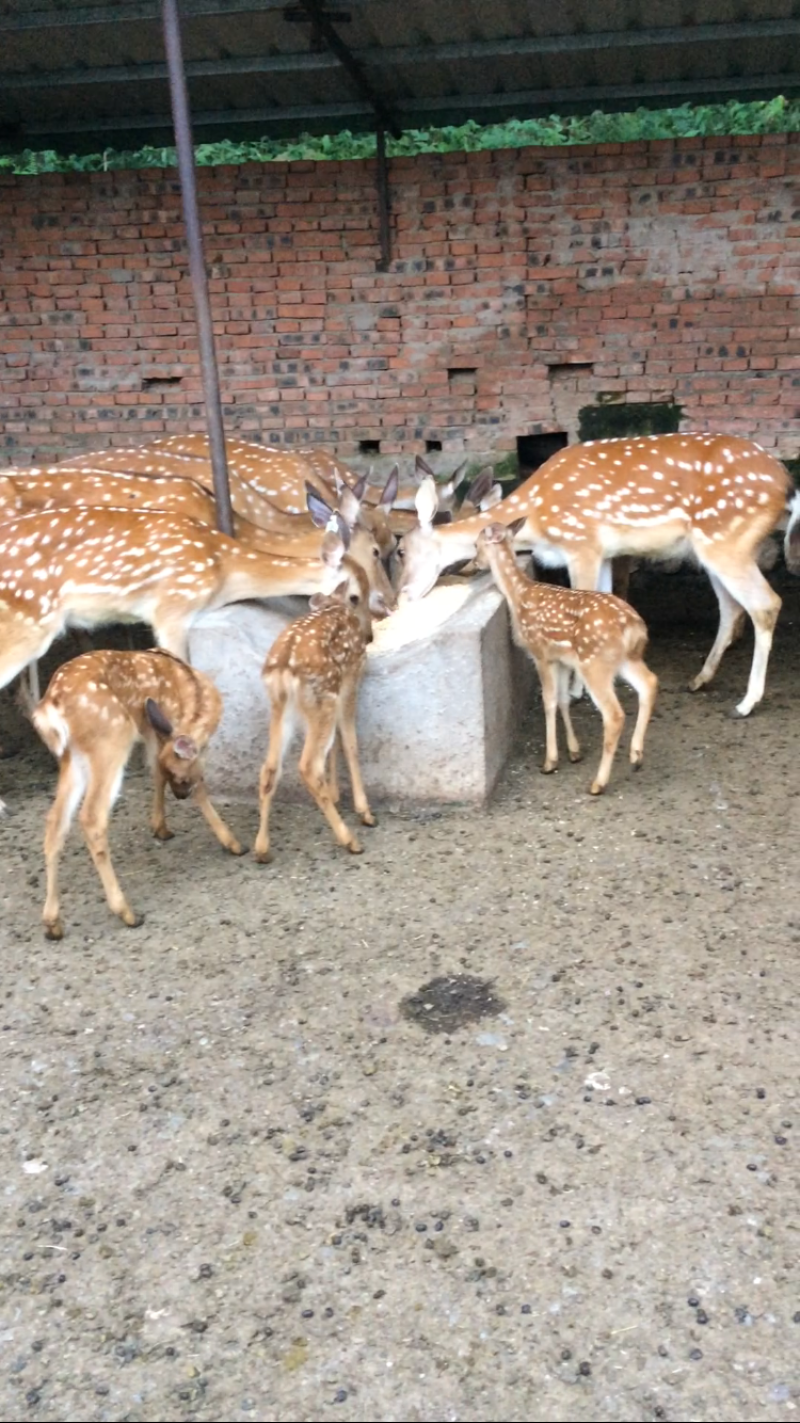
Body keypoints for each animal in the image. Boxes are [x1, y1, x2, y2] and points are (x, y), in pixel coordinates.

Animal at [29, 648, 243, 939]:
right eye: (183, 777)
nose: (180, 795)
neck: (193, 690)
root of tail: (50, 706)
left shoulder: (153, 732)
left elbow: (155, 771)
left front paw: (161, 828)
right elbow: (192, 785)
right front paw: (233, 843)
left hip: (72, 757)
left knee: (55, 821)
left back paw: (53, 924)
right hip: (111, 740)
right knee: (91, 817)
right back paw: (128, 913)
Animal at [253, 522, 388, 864]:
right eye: (357, 597)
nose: (368, 637)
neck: (334, 605)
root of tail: (284, 668)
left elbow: (339, 742)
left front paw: (338, 794)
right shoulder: (350, 680)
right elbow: (351, 742)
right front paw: (364, 810)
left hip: (282, 708)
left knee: (269, 768)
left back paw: (262, 849)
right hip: (320, 699)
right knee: (308, 766)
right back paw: (350, 839)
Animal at [398, 433, 795, 718]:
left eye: (401, 549)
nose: (401, 597)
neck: (537, 517)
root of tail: (788, 485)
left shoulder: (581, 544)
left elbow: (582, 604)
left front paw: (576, 692)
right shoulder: (603, 554)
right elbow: (601, 598)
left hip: (725, 539)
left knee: (766, 603)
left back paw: (746, 703)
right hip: (712, 548)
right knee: (732, 607)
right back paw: (700, 680)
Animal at [476, 520, 659, 795]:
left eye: (476, 543)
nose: (475, 561)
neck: (518, 594)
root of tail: (634, 626)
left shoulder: (540, 653)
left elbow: (549, 701)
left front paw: (550, 761)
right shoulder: (561, 659)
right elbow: (562, 700)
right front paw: (574, 751)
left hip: (595, 662)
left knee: (614, 715)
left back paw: (598, 783)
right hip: (626, 658)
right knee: (649, 682)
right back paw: (636, 757)